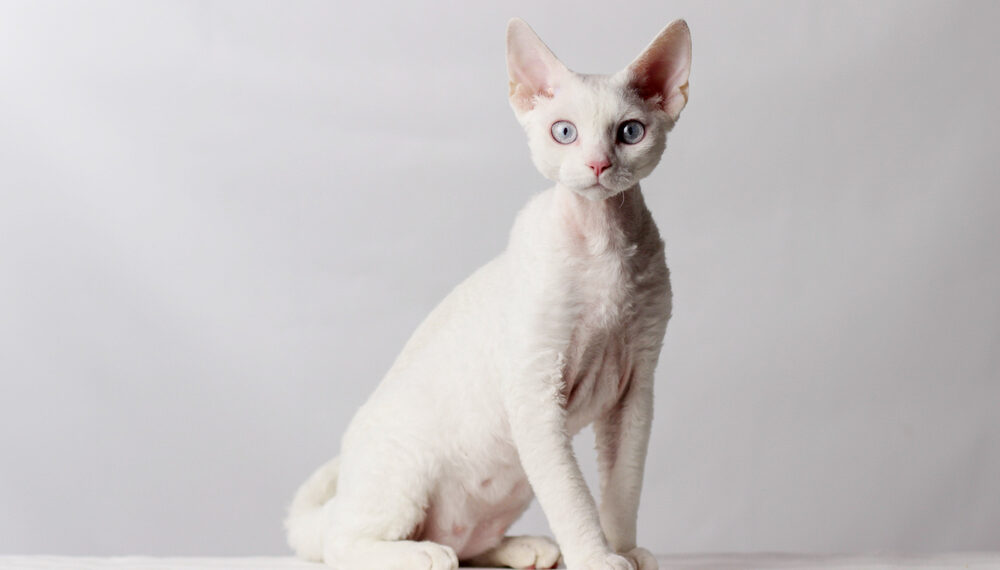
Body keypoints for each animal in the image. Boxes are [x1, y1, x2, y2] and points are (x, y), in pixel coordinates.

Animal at [286, 17, 692, 568]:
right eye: (564, 132)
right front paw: (597, 557)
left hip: (508, 488)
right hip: (402, 474)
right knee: (339, 543)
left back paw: (525, 547)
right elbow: (573, 496)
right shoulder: (535, 388)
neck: (603, 244)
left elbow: (622, 487)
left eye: (630, 132)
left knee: (471, 543)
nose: (597, 165)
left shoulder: (637, 389)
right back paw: (423, 554)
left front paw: (627, 550)